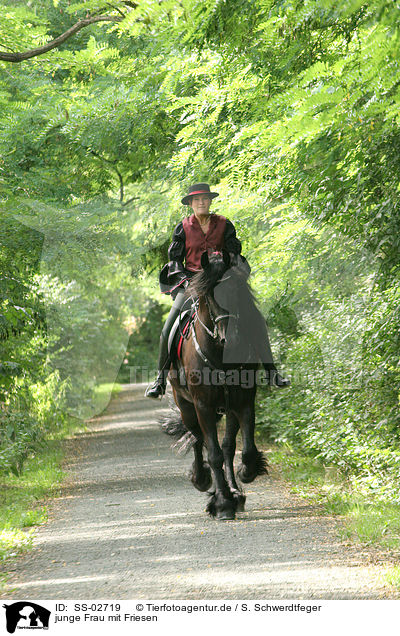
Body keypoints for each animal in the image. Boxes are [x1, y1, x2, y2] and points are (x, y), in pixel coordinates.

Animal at [161, 251, 268, 520]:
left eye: (239, 290)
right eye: (210, 295)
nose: (231, 339)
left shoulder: (243, 401)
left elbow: (244, 450)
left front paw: (245, 475)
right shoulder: (204, 406)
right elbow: (214, 453)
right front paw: (221, 504)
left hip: (228, 409)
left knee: (228, 446)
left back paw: (235, 492)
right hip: (187, 407)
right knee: (198, 440)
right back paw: (201, 478)